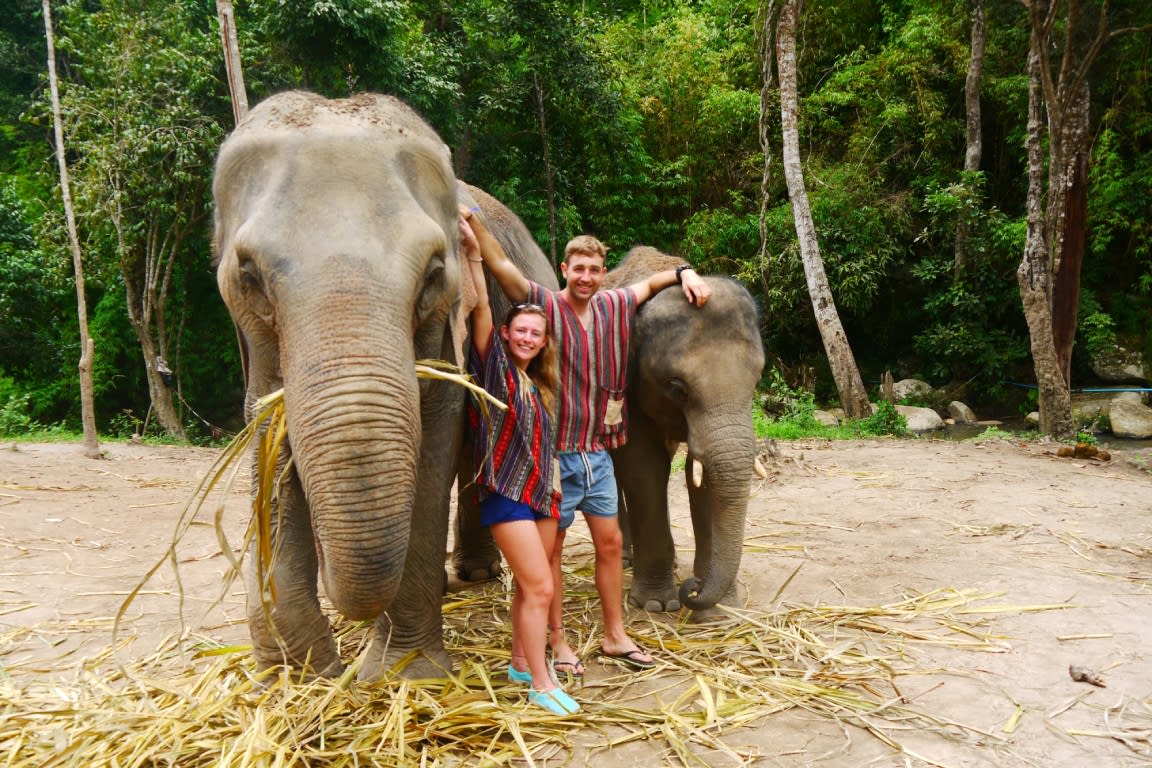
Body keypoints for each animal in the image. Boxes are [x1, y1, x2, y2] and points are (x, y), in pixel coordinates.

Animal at [215, 91, 557, 677]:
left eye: (434, 272)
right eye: (249, 274)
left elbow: (436, 439)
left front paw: (405, 673)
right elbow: (268, 434)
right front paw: (297, 672)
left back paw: (476, 576)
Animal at [603, 249, 764, 617]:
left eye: (757, 379)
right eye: (677, 388)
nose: (692, 587)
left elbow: (700, 473)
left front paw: (719, 612)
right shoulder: (627, 383)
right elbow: (641, 464)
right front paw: (656, 604)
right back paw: (625, 560)